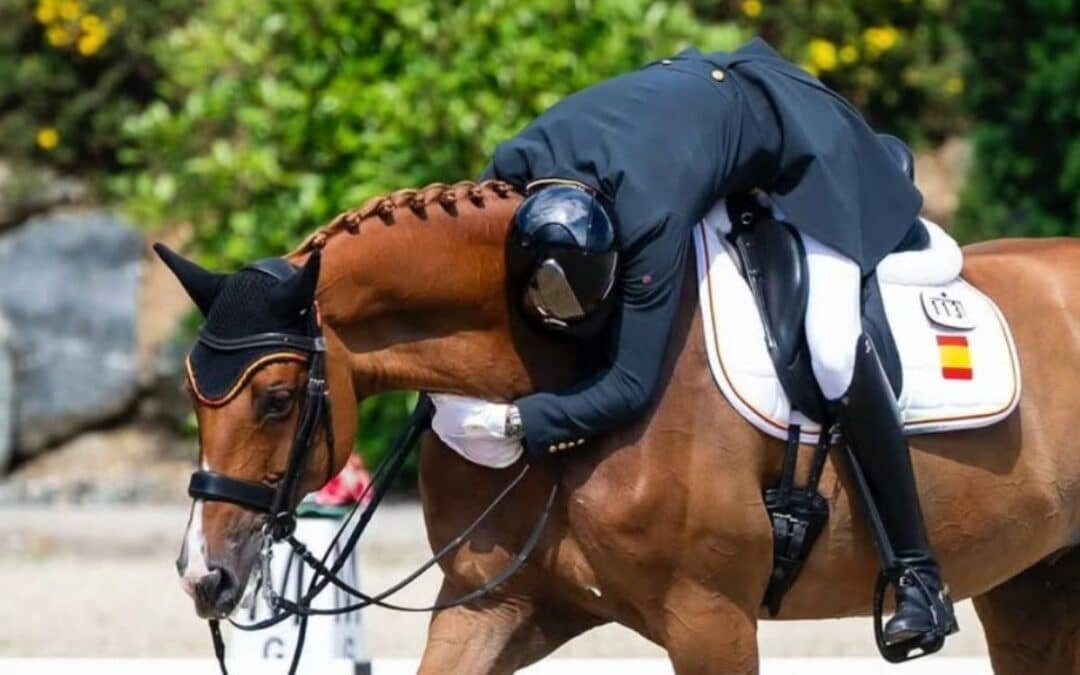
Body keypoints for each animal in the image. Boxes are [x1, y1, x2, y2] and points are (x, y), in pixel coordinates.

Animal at [167, 180, 1080, 674]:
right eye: (192, 395)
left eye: (276, 399)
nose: (205, 576)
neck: (562, 370)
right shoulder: (493, 606)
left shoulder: (709, 615)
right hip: (1032, 583)